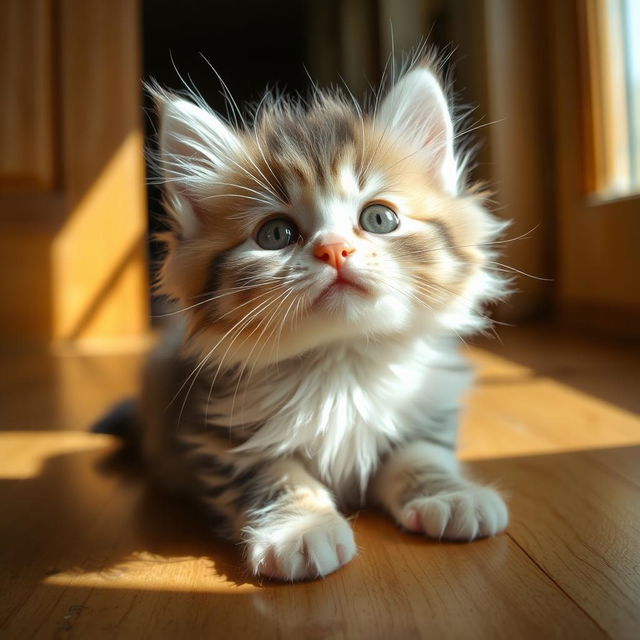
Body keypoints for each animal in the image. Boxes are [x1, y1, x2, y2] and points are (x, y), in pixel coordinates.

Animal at [138, 58, 508, 580]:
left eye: (379, 219)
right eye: (275, 234)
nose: (335, 249)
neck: (341, 359)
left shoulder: (424, 407)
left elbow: (421, 452)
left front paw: (450, 495)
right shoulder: (215, 430)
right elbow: (272, 474)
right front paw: (300, 529)